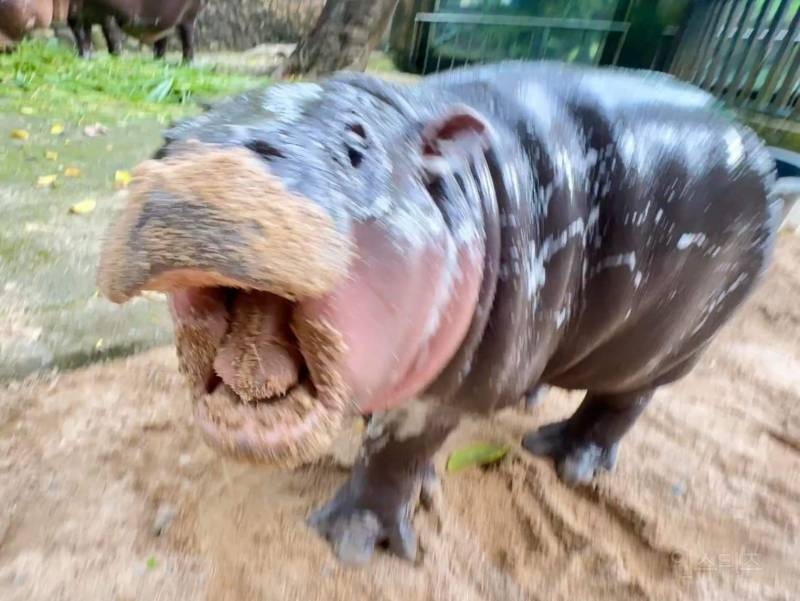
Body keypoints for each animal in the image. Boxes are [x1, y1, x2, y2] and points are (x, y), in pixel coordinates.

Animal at [97, 63, 784, 564]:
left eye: (355, 147)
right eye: (171, 133)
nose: (204, 163)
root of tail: (755, 145)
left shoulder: (444, 389)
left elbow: (395, 451)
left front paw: (351, 541)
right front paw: (422, 483)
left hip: (665, 344)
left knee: (624, 401)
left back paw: (563, 456)